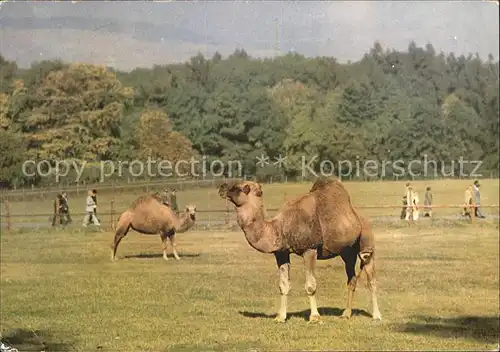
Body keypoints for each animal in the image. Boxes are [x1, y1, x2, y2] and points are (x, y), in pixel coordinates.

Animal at [217, 177, 380, 324]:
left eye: (240, 187)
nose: (222, 187)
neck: (280, 228)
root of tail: (361, 216)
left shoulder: (310, 249)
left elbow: (310, 285)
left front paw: (314, 317)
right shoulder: (281, 253)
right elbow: (283, 285)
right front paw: (280, 317)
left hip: (366, 243)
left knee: (370, 277)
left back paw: (376, 316)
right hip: (347, 252)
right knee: (351, 279)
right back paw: (346, 314)